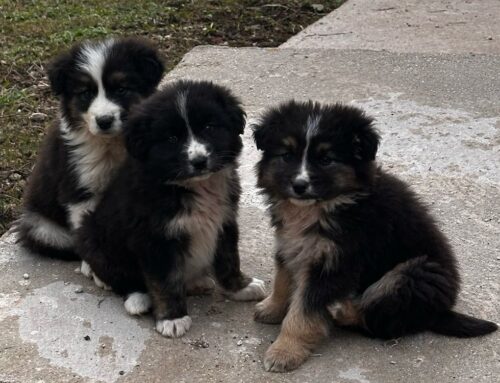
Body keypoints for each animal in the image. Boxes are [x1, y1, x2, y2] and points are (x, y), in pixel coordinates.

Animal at [15, 37, 164, 262]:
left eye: (121, 89)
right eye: (86, 93)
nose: (104, 121)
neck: (111, 143)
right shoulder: (80, 191)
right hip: (41, 227)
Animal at [75, 79, 266, 338]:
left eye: (209, 126)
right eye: (172, 138)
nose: (199, 161)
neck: (190, 187)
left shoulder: (224, 221)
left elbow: (229, 259)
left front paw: (241, 287)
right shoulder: (154, 238)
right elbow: (164, 281)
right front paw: (172, 319)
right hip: (91, 234)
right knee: (118, 275)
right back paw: (136, 298)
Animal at [252, 100, 498, 374]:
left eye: (326, 159)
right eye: (287, 155)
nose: (299, 185)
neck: (322, 207)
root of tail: (441, 310)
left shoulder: (334, 262)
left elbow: (303, 312)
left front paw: (284, 352)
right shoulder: (290, 244)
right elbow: (282, 280)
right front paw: (271, 309)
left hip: (415, 273)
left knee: (384, 322)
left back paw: (342, 310)